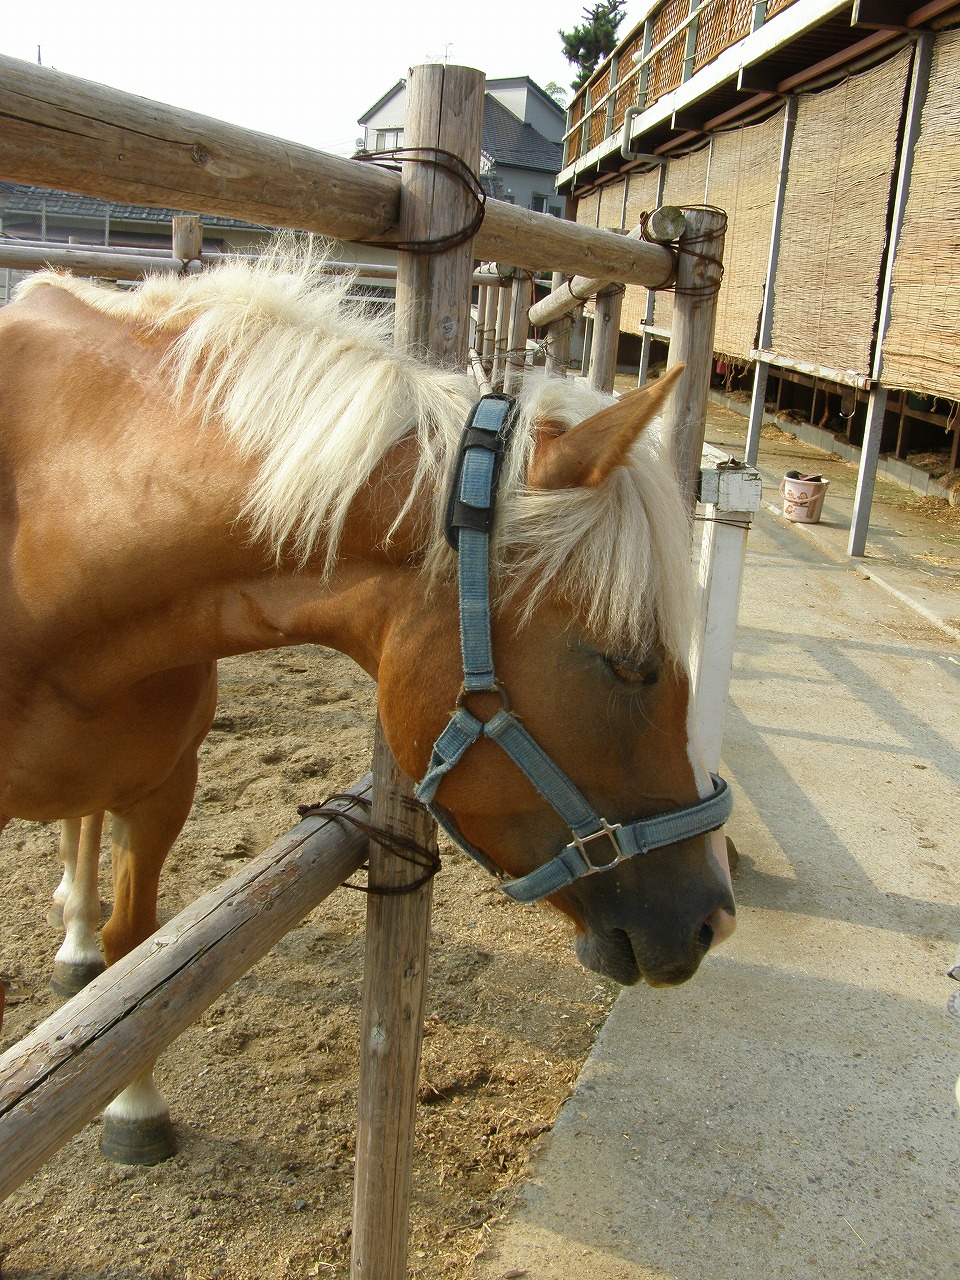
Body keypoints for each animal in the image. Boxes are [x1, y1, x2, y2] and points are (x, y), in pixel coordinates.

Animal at [0, 241, 735, 1163]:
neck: (53, 535)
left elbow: (138, 954)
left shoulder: (164, 789)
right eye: (629, 664)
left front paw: (131, 1102)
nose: (714, 918)